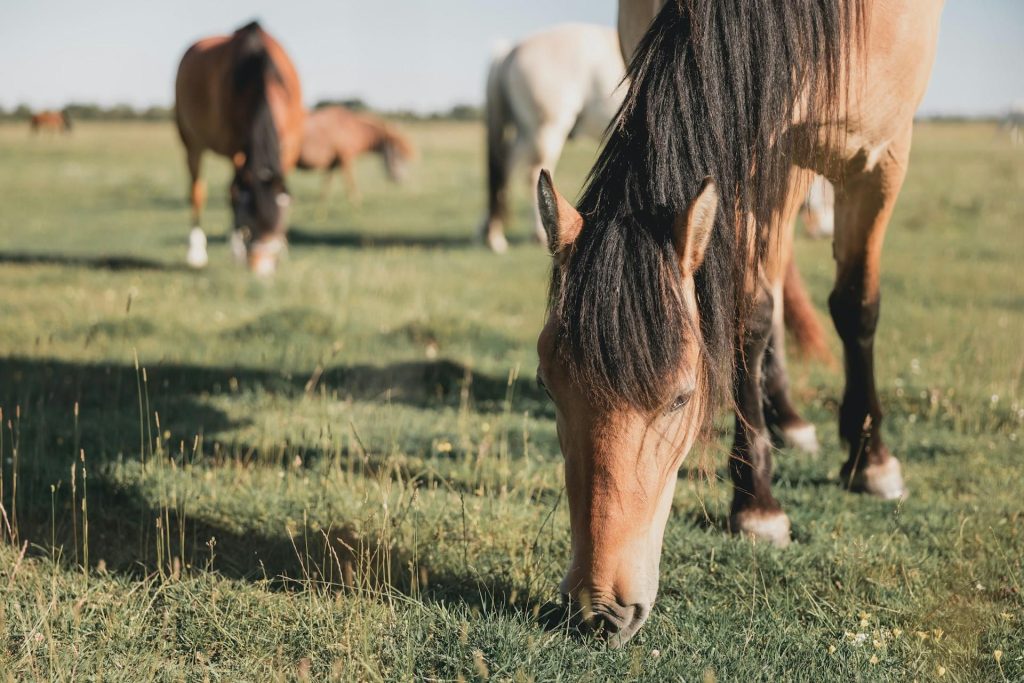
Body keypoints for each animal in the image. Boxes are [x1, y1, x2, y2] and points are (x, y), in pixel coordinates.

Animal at [174, 21, 305, 275]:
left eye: (279, 221)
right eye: (248, 223)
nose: (261, 269)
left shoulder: (290, 145)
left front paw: (283, 248)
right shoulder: (236, 147)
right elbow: (235, 192)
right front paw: (237, 251)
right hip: (191, 141)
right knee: (197, 190)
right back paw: (196, 252)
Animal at [480, 24, 627, 253]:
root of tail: (511, 50)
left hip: (527, 131)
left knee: (506, 167)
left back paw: (492, 233)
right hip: (547, 129)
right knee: (531, 172)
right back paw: (536, 235)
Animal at [535, 0, 944, 645]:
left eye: (681, 398)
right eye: (548, 387)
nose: (599, 611)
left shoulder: (880, 157)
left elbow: (856, 303)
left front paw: (868, 462)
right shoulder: (757, 157)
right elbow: (749, 314)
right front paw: (758, 498)